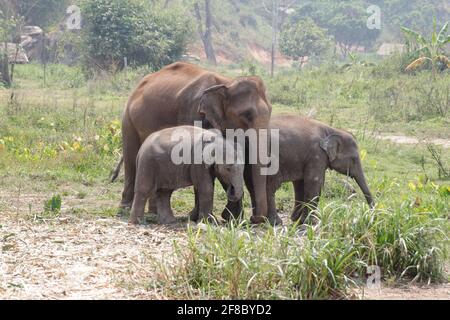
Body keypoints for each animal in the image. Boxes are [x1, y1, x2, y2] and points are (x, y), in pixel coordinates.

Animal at [119, 61, 272, 224]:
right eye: (246, 115)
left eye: (271, 111)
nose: (254, 218)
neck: (227, 83)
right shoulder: (193, 111)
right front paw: (199, 217)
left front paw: (232, 219)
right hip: (127, 119)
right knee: (130, 157)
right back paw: (125, 208)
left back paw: (153, 212)